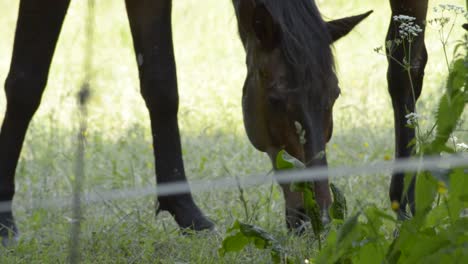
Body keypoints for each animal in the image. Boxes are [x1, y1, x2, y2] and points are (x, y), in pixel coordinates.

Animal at [1, 0, 430, 243]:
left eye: (335, 96)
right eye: (275, 100)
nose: (319, 215)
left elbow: (161, 83)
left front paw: (185, 211)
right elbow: (26, 82)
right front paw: (5, 220)